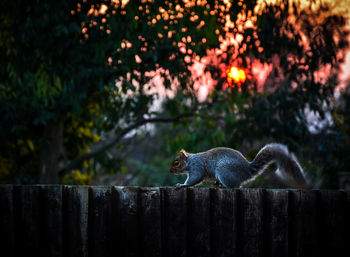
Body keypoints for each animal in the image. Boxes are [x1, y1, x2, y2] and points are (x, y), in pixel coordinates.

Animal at [170, 144, 308, 188]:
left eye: (176, 163)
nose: (170, 171)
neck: (190, 161)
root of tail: (246, 170)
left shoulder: (196, 167)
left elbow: (194, 179)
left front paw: (182, 185)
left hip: (224, 171)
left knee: (235, 186)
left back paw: (223, 186)